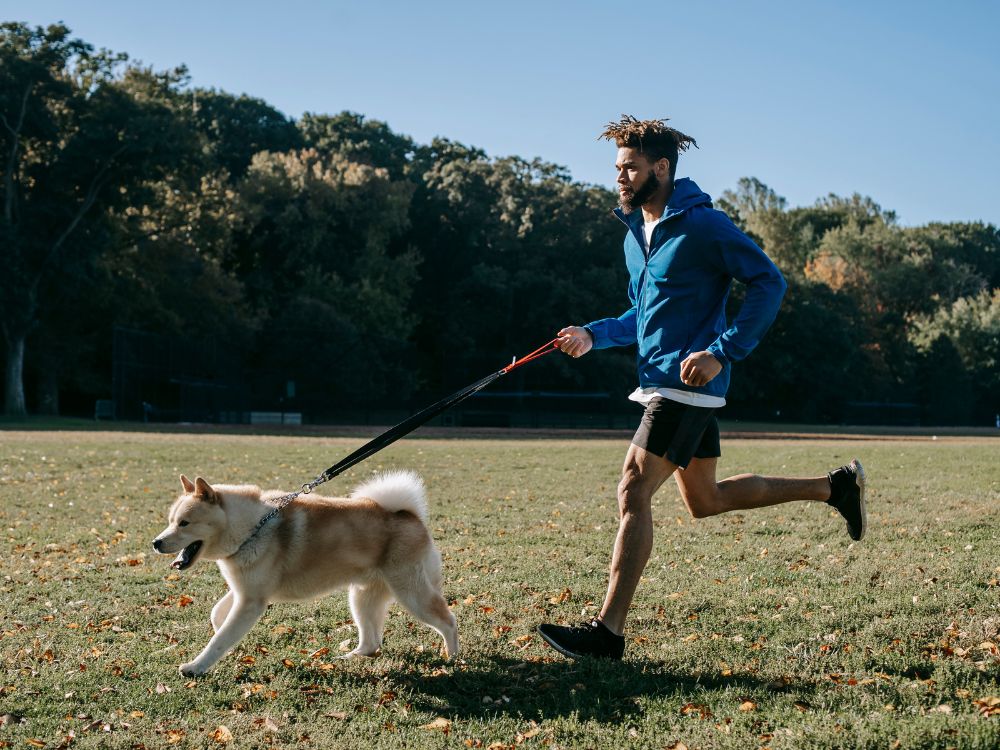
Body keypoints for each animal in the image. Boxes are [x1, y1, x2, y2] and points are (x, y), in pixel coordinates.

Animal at [151, 472, 458, 680]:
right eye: (170, 521)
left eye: (184, 523)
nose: (156, 542)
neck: (252, 528)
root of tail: (411, 516)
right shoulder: (244, 592)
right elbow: (218, 616)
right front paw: (222, 636)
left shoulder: (252, 602)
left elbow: (219, 640)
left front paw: (196, 667)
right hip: (362, 598)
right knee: (372, 644)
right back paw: (349, 657)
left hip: (412, 594)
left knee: (449, 620)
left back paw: (453, 658)